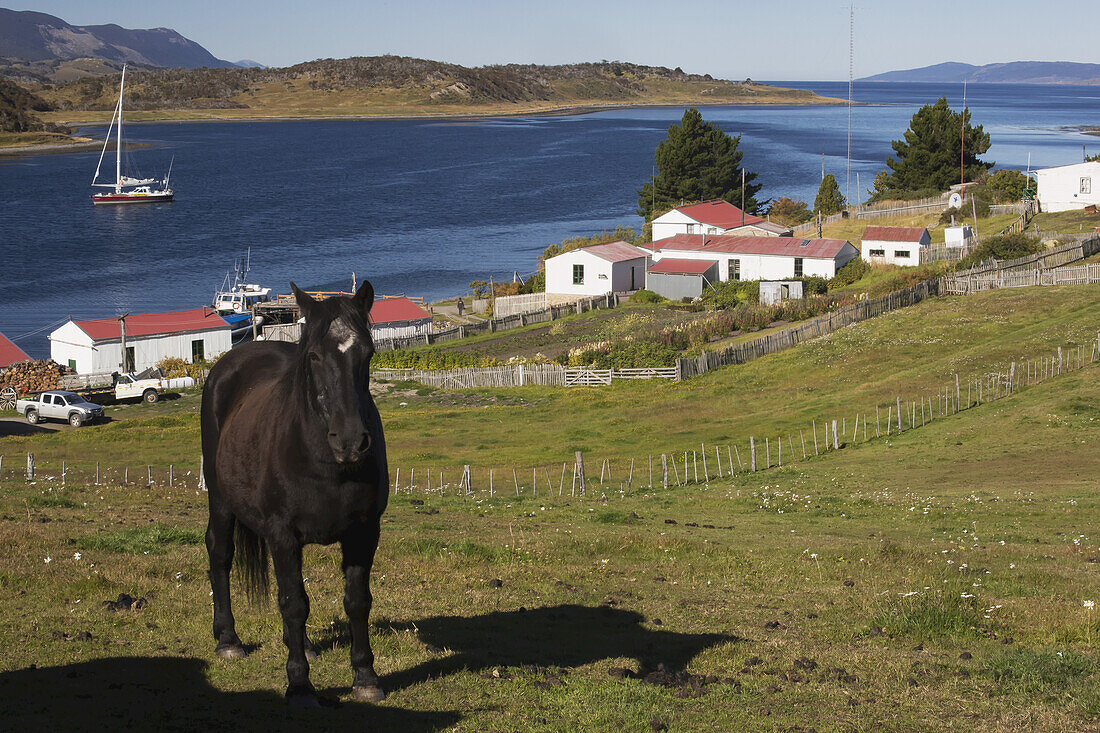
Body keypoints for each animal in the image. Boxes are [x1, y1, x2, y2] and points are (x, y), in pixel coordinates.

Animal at [200, 279, 389, 704]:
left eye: (367, 353)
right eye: (315, 356)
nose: (351, 441)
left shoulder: (363, 532)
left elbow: (356, 601)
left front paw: (366, 677)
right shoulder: (282, 535)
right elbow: (294, 604)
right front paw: (300, 684)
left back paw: (304, 646)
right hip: (221, 502)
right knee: (220, 554)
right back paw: (228, 640)